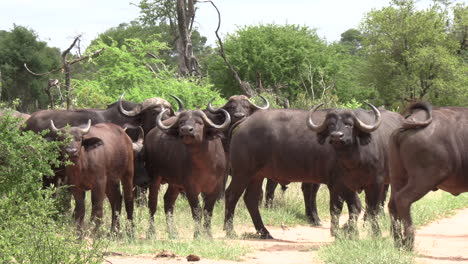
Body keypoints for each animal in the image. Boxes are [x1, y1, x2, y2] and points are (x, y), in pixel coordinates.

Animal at [144, 107, 229, 237]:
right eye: (181, 122)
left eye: (200, 122)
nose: (186, 130)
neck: (204, 163)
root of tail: (149, 135)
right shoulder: (190, 188)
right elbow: (197, 212)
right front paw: (197, 235)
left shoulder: (216, 187)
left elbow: (208, 212)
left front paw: (208, 235)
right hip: (154, 177)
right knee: (152, 204)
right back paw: (151, 233)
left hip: (175, 183)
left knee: (168, 201)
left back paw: (173, 232)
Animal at [224, 108, 362, 238]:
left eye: (349, 125)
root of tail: (245, 121)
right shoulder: (338, 183)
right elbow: (345, 206)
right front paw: (343, 231)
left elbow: (355, 206)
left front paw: (350, 231)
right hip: (242, 172)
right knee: (231, 195)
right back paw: (230, 230)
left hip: (257, 175)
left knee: (250, 198)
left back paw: (264, 232)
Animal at [388, 102, 468, 251]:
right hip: (425, 178)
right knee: (403, 199)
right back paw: (409, 242)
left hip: (398, 177)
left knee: (392, 204)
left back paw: (398, 242)